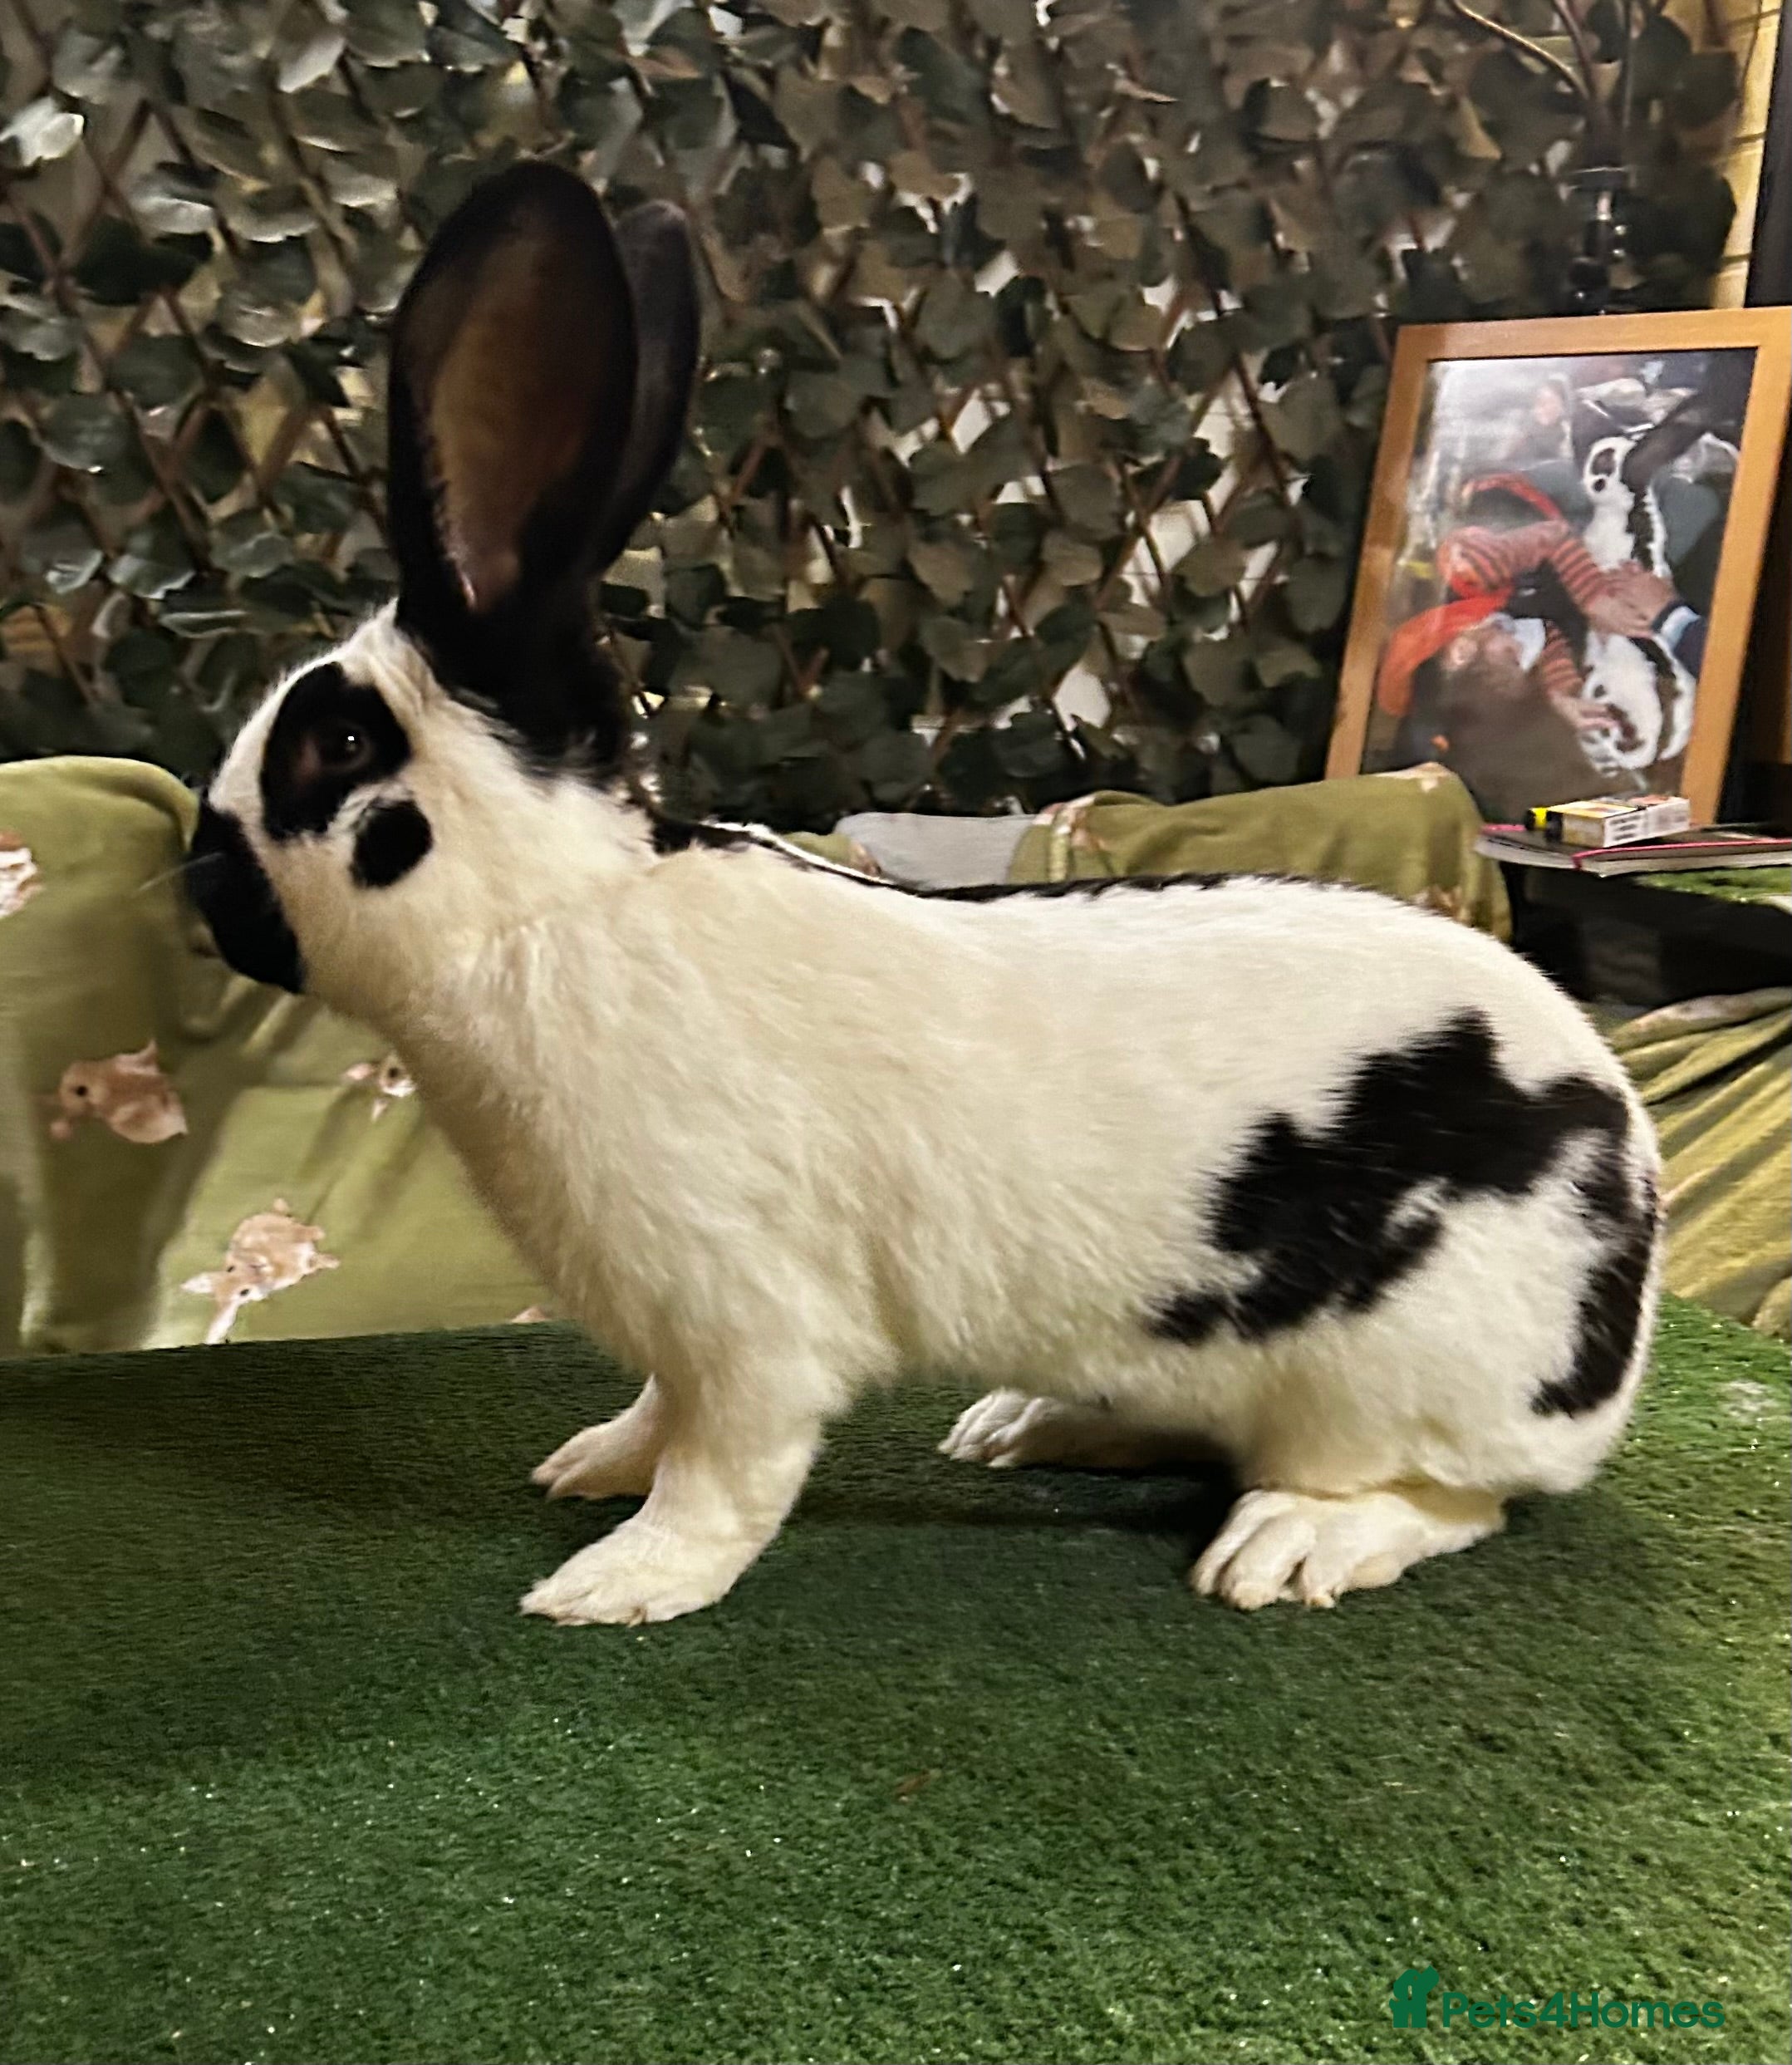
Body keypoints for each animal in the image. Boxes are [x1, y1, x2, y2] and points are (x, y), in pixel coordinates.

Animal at [186, 162, 1663, 1627]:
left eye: (338, 745)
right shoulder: (679, 1331)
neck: (552, 913)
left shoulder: (745, 1318)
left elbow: (727, 1464)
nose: (203, 884)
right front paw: (589, 1465)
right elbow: (656, 1415)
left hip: (1389, 1380)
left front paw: (622, 1580)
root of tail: (1627, 1264)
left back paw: (1289, 1544)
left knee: (1447, 1495)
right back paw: (1028, 1424)